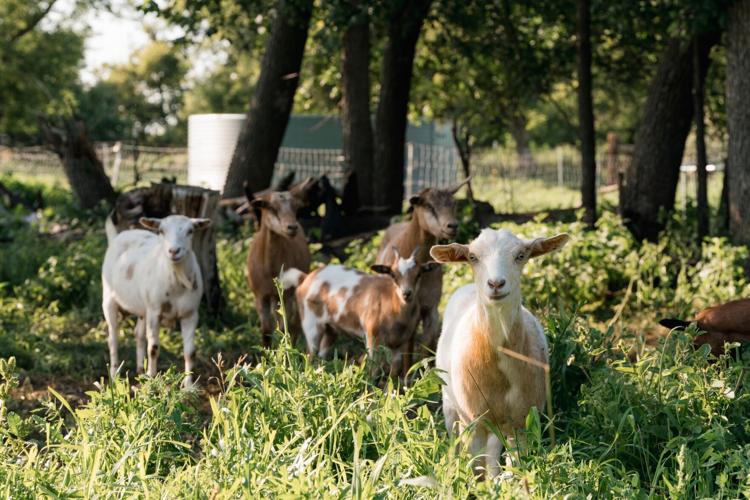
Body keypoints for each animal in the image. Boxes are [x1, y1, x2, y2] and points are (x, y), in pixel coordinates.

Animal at [101, 215, 211, 387]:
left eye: (190, 231)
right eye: (161, 231)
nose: (174, 251)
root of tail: (118, 236)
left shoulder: (191, 313)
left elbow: (190, 351)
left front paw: (188, 385)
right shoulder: (155, 311)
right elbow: (153, 348)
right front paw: (152, 378)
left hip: (143, 307)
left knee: (138, 334)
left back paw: (140, 370)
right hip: (109, 298)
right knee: (113, 337)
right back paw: (114, 375)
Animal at [246, 179, 315, 347]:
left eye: (296, 207)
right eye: (271, 207)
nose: (292, 227)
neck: (269, 270)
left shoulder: (286, 295)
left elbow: (284, 328)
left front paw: (284, 351)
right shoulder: (260, 296)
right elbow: (266, 331)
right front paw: (267, 352)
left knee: (295, 323)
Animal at [281, 248, 440, 378]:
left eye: (419, 274)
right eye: (393, 275)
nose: (406, 293)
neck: (391, 304)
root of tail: (305, 278)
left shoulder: (400, 342)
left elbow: (395, 370)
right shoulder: (373, 337)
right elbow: (374, 368)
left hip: (331, 329)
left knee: (321, 354)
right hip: (311, 323)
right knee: (310, 354)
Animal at [430, 228, 569, 477]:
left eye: (521, 255)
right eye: (473, 257)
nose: (495, 283)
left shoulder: (523, 419)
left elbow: (516, 464)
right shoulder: (475, 420)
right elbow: (478, 466)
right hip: (452, 405)